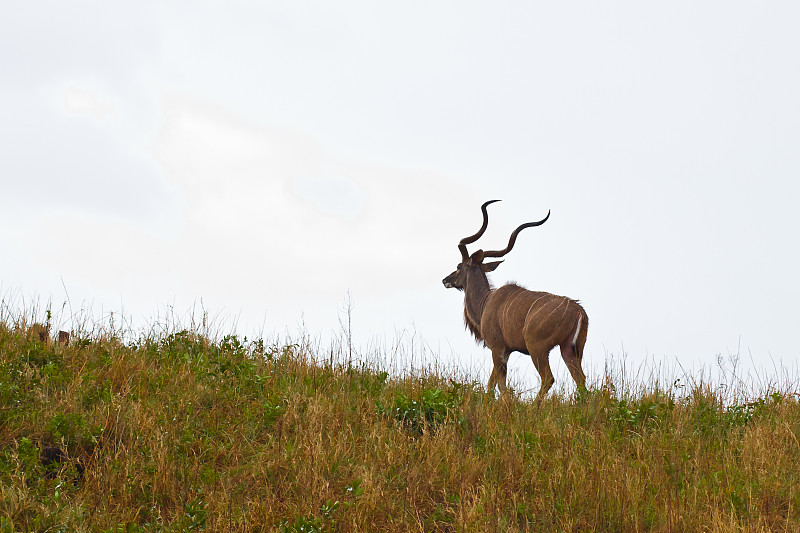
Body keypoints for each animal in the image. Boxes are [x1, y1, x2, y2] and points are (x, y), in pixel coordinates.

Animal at [444, 202, 588, 402]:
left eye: (459, 266)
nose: (445, 280)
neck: (486, 302)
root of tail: (578, 311)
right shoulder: (505, 351)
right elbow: (492, 382)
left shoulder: (497, 348)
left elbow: (500, 385)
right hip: (571, 349)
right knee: (581, 380)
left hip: (537, 347)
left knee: (548, 378)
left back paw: (533, 407)